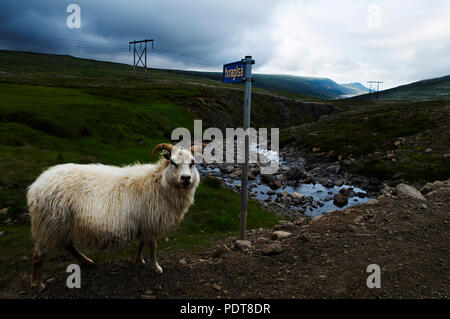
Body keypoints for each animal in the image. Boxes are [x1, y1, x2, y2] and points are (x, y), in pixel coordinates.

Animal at [27, 144, 200, 292]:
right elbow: (152, 246)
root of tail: (36, 186)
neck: (159, 182)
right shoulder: (150, 221)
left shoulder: (143, 222)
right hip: (49, 225)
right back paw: (37, 284)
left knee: (68, 245)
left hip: (62, 224)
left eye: (192, 163)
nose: (186, 178)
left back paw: (86, 261)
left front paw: (139, 260)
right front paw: (156, 267)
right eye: (173, 162)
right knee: (37, 256)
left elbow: (142, 243)